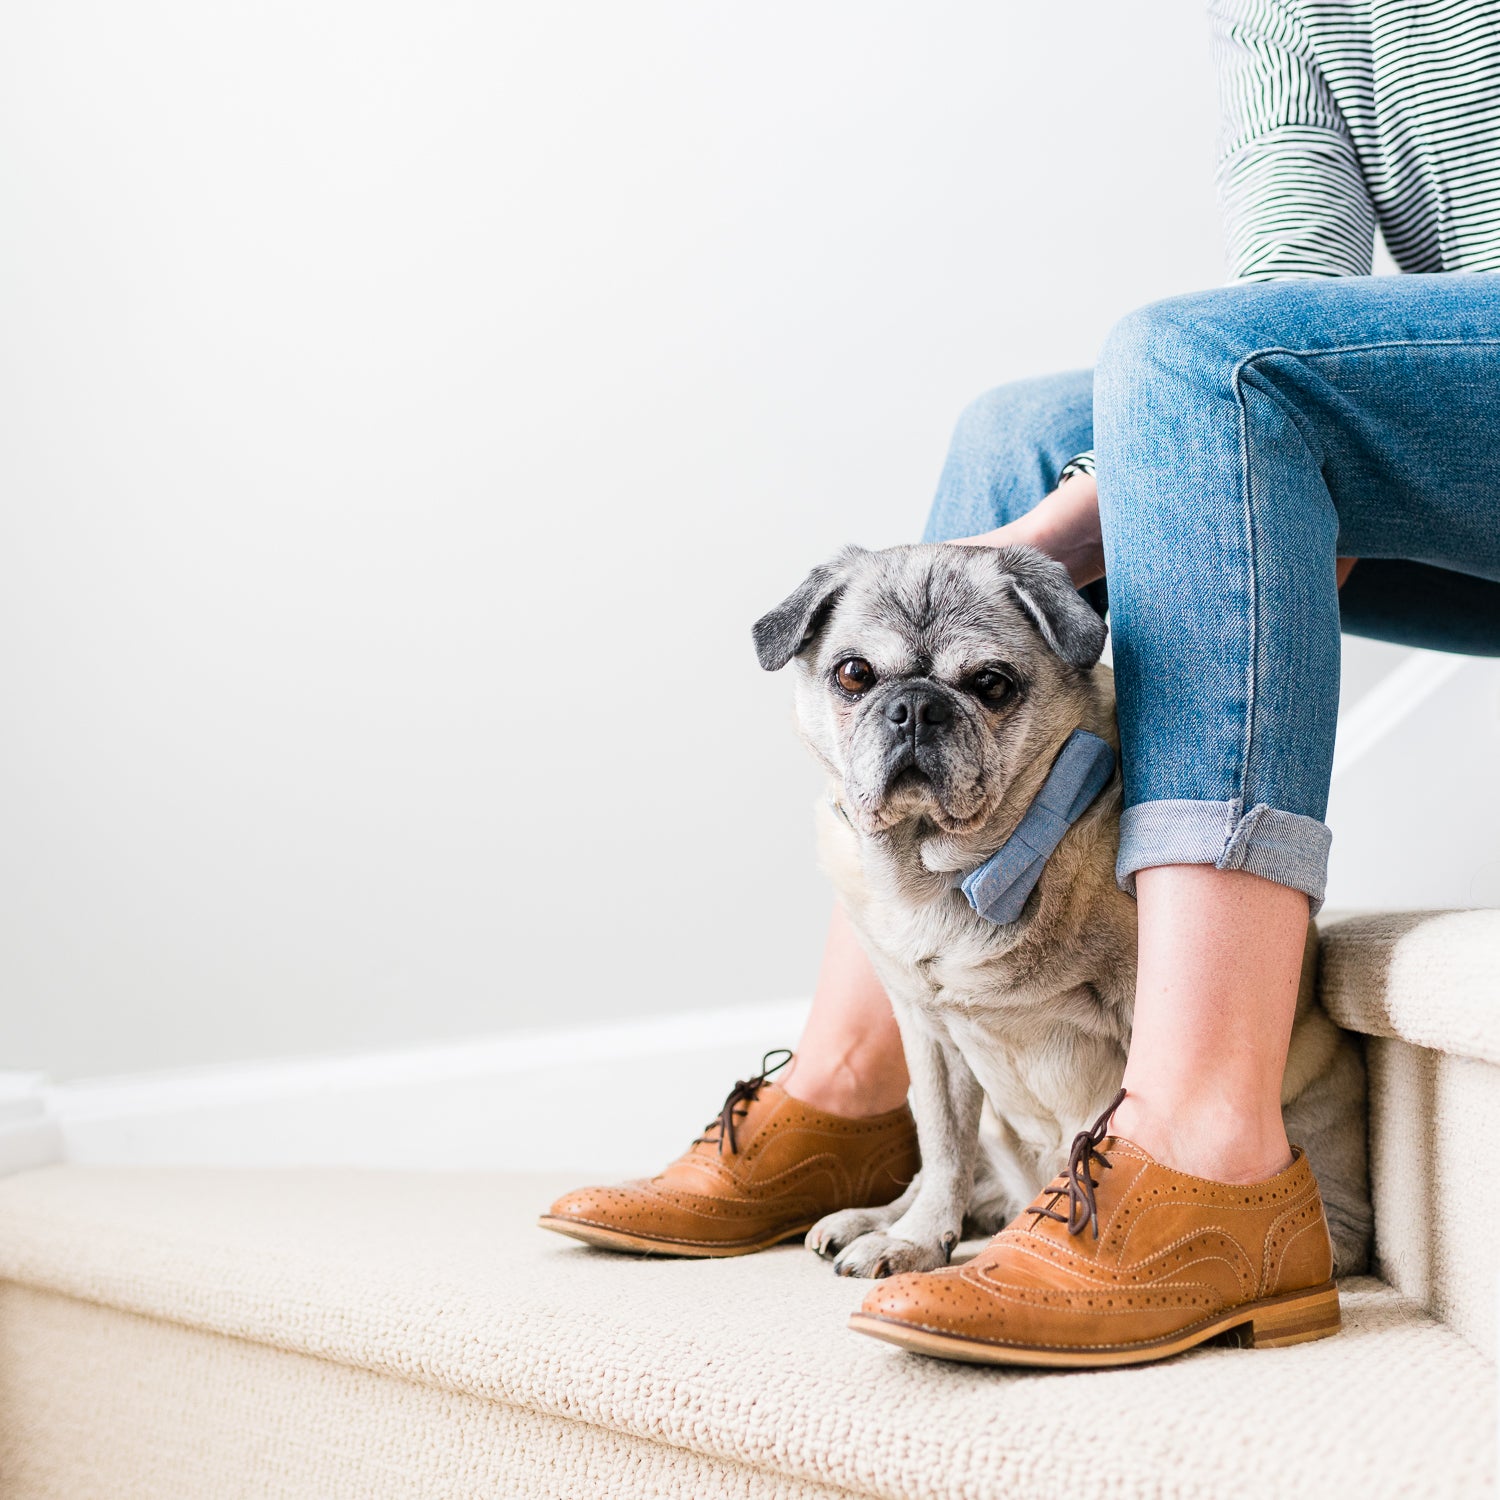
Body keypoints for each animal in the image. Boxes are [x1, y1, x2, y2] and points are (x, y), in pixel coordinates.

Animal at [762, 540, 1374, 1278]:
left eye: (992, 685)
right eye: (853, 675)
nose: (915, 707)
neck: (955, 871)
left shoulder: (1138, 1015)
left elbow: (1119, 1133)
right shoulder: (928, 1037)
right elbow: (942, 1147)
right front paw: (917, 1239)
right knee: (950, 1171)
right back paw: (882, 1220)